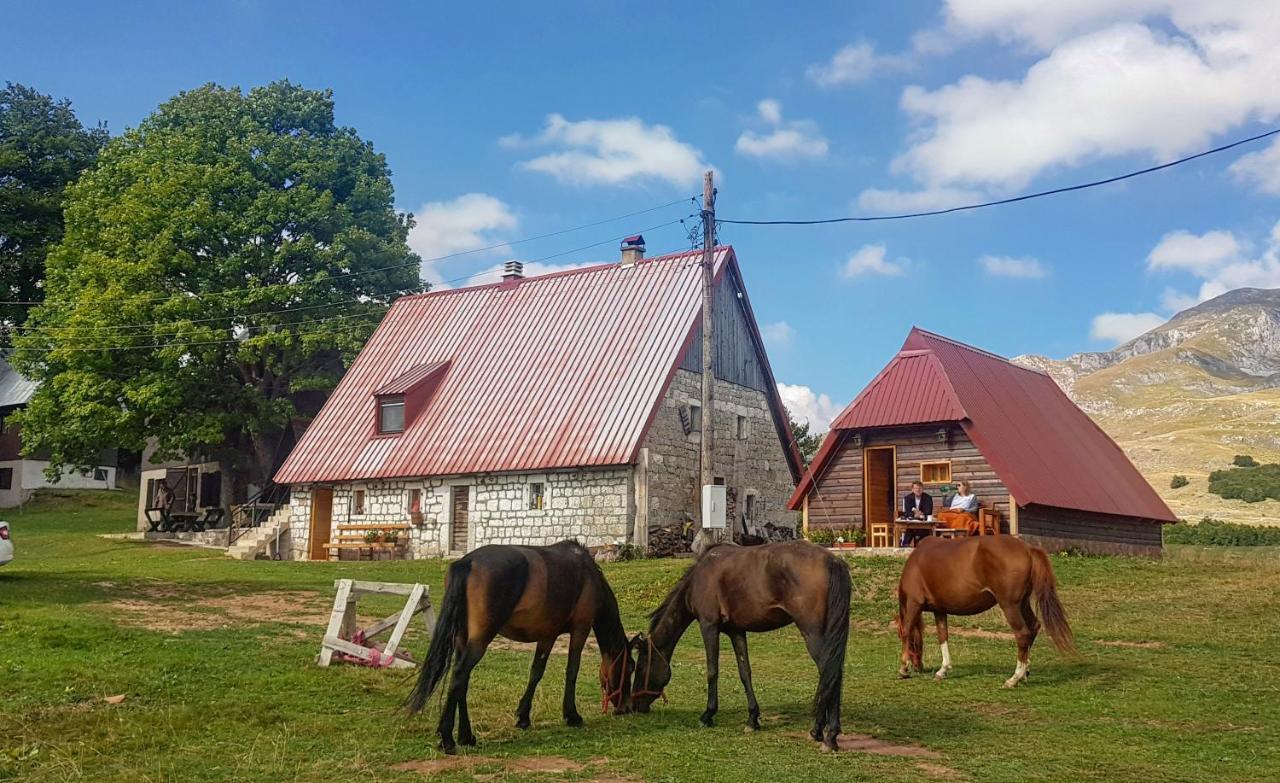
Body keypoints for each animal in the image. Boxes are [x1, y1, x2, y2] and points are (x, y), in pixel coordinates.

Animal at [407, 542, 632, 757]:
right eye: (630, 668)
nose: (627, 707)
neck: (588, 574)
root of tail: (467, 562)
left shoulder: (547, 635)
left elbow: (536, 672)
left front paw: (523, 717)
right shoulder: (580, 630)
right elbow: (572, 671)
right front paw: (572, 715)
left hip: (463, 639)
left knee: (462, 680)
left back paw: (466, 736)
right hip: (480, 639)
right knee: (460, 674)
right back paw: (448, 739)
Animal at [629, 545, 849, 752]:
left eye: (640, 667)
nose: (635, 706)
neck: (699, 578)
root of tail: (833, 561)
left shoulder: (708, 626)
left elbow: (712, 671)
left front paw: (707, 715)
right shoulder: (736, 632)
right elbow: (745, 673)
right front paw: (752, 719)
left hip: (813, 634)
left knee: (829, 673)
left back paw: (827, 735)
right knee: (833, 674)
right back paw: (823, 732)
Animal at [896, 534, 1075, 685]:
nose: (918, 667)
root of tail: (1027, 549)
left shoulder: (914, 603)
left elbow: (907, 630)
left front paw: (903, 668)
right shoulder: (939, 609)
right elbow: (943, 636)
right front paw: (943, 670)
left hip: (1009, 605)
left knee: (1022, 634)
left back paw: (1014, 678)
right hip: (1022, 603)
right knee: (1033, 627)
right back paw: (1024, 672)